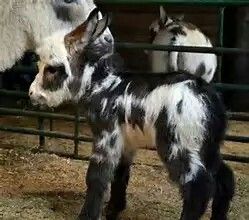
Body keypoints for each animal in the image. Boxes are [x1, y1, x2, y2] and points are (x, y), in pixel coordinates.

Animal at [28, 8, 233, 220]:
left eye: (52, 69)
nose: (32, 94)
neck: (102, 85)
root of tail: (209, 99)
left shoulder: (106, 138)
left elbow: (96, 177)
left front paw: (89, 215)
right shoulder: (126, 142)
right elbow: (120, 174)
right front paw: (113, 210)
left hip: (179, 146)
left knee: (197, 189)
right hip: (207, 147)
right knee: (224, 179)